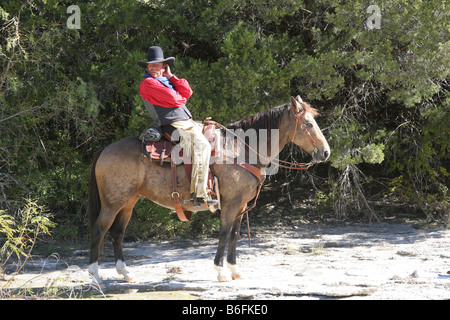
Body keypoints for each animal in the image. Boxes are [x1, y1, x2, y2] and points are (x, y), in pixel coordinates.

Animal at [88, 95, 328, 282]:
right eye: (308, 124)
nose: (325, 152)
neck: (241, 149)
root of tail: (104, 149)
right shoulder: (230, 203)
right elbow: (223, 233)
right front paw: (220, 271)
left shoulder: (241, 204)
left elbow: (234, 235)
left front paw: (234, 270)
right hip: (112, 203)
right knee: (99, 230)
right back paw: (95, 275)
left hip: (128, 202)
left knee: (117, 233)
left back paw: (125, 273)